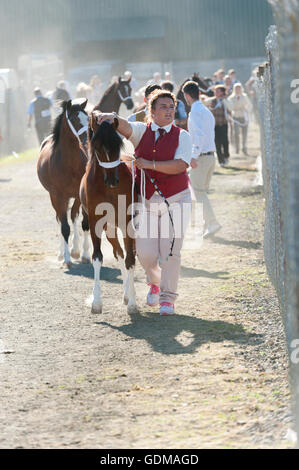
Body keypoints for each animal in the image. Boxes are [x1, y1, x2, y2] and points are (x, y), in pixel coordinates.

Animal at [37, 98, 90, 268]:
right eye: (74, 119)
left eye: (88, 118)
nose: (89, 137)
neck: (69, 163)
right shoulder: (58, 195)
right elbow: (64, 227)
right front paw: (67, 259)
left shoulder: (81, 194)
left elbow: (84, 223)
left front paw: (84, 254)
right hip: (55, 197)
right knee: (61, 219)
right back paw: (62, 253)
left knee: (73, 215)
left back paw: (76, 250)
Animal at [81, 112, 139, 314]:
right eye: (97, 147)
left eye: (117, 145)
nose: (113, 180)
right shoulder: (95, 222)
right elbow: (98, 257)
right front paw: (97, 302)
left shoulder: (127, 222)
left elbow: (131, 259)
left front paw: (133, 304)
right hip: (110, 228)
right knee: (119, 253)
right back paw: (127, 293)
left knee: (128, 254)